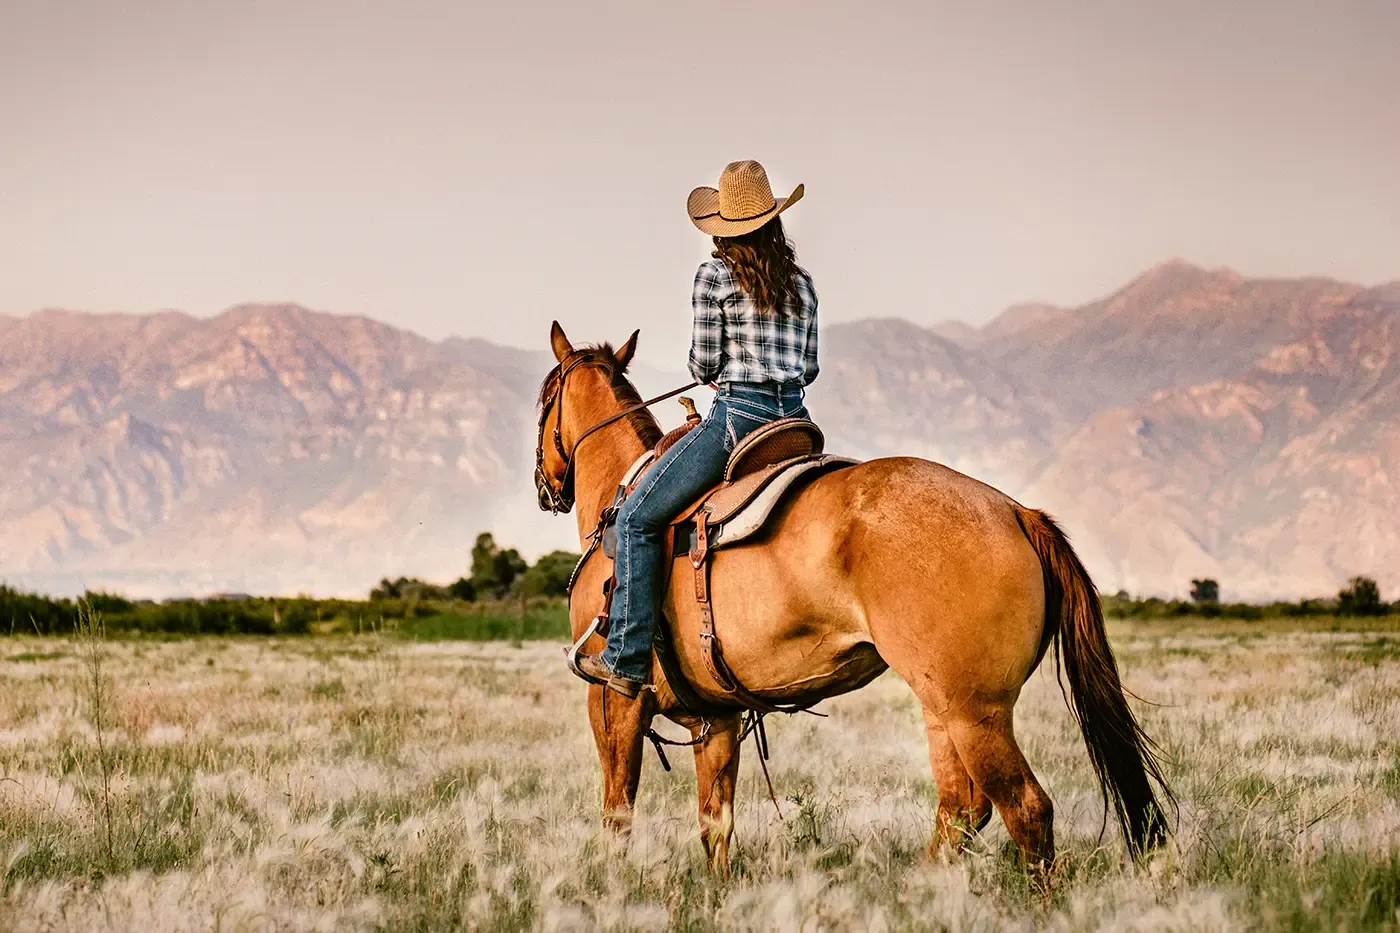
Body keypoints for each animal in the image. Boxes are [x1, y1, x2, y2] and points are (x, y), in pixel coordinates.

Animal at [534, 322, 1171, 874]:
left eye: (544, 396)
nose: (546, 488)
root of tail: (1015, 511)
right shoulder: (716, 717)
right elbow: (716, 824)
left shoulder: (612, 700)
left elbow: (618, 812)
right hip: (944, 709)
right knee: (961, 808)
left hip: (976, 712)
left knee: (1024, 809)